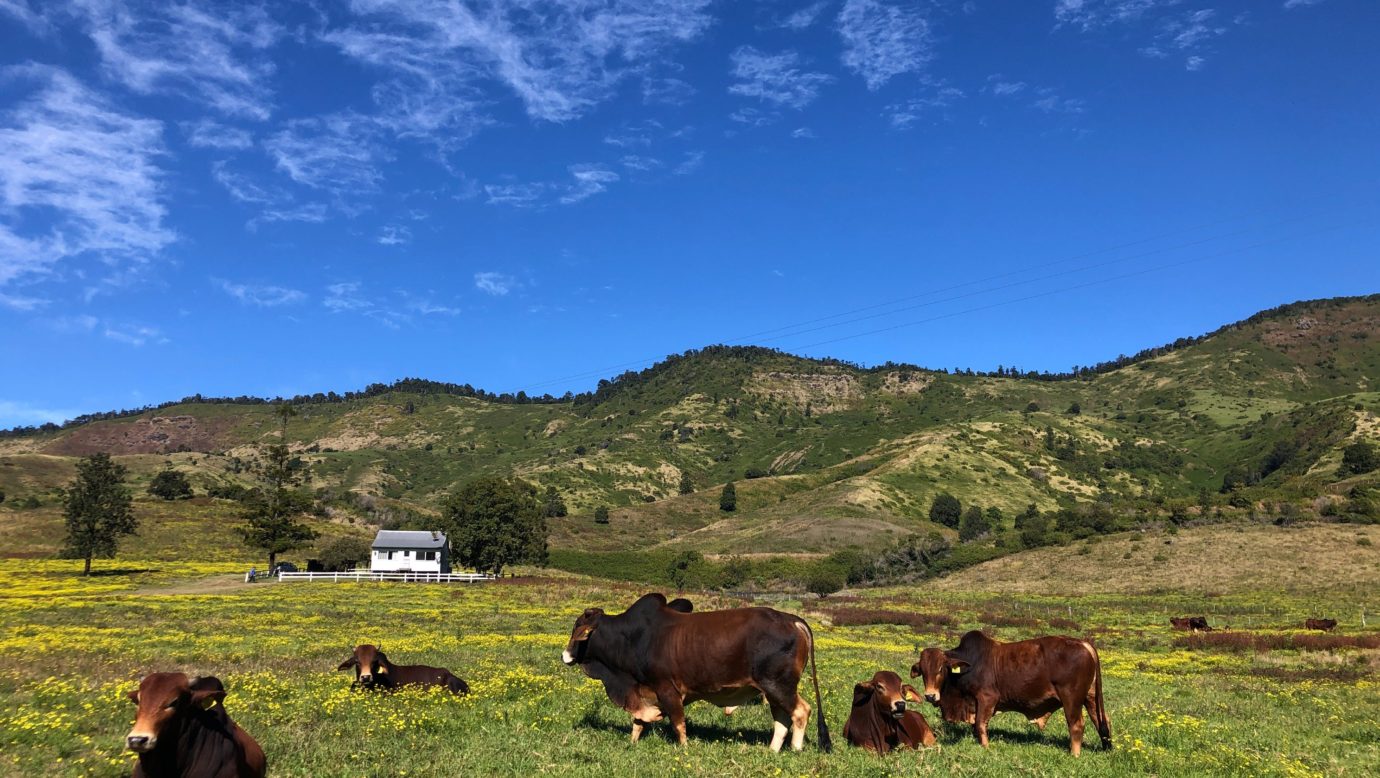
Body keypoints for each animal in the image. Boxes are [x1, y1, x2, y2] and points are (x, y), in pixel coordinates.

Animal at [560, 593, 828, 750]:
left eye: (577, 628)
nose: (565, 656)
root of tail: (792, 619)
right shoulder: (644, 690)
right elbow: (638, 722)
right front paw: (632, 744)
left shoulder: (667, 689)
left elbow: (678, 724)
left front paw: (685, 750)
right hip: (771, 689)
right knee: (782, 719)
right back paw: (772, 751)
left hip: (779, 685)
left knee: (801, 712)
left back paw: (795, 749)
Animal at [910, 629, 1115, 755]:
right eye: (923, 671)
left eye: (941, 669)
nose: (930, 695)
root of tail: (1084, 644)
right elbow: (975, 725)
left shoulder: (987, 698)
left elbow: (980, 724)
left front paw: (986, 747)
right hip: (1091, 697)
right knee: (1101, 721)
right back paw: (1106, 748)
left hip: (1071, 698)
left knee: (1077, 724)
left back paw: (1074, 754)